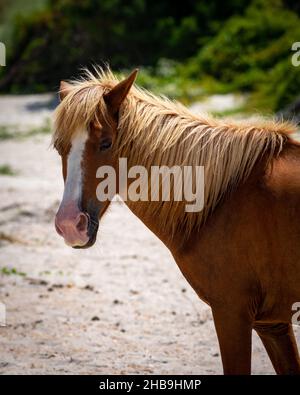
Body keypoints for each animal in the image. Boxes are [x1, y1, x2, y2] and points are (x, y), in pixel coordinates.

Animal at [52, 67, 300, 374]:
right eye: (59, 147)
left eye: (106, 143)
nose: (70, 225)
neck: (222, 200)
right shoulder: (273, 324)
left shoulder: (232, 312)